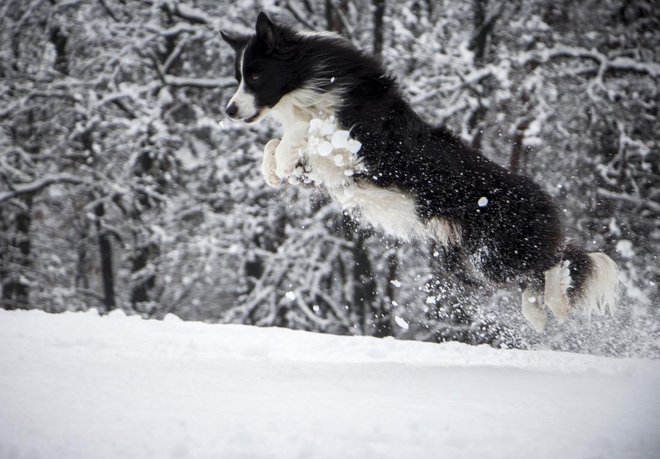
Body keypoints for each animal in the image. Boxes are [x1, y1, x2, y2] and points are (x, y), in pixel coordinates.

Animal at [222, 12, 620, 332]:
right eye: (239, 76)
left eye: (255, 75)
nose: (229, 110)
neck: (309, 83)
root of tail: (541, 199)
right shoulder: (325, 171)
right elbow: (274, 145)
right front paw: (273, 170)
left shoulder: (362, 147)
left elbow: (303, 134)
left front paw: (284, 154)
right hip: (479, 257)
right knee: (539, 274)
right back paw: (540, 314)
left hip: (498, 251)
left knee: (553, 263)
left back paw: (555, 304)